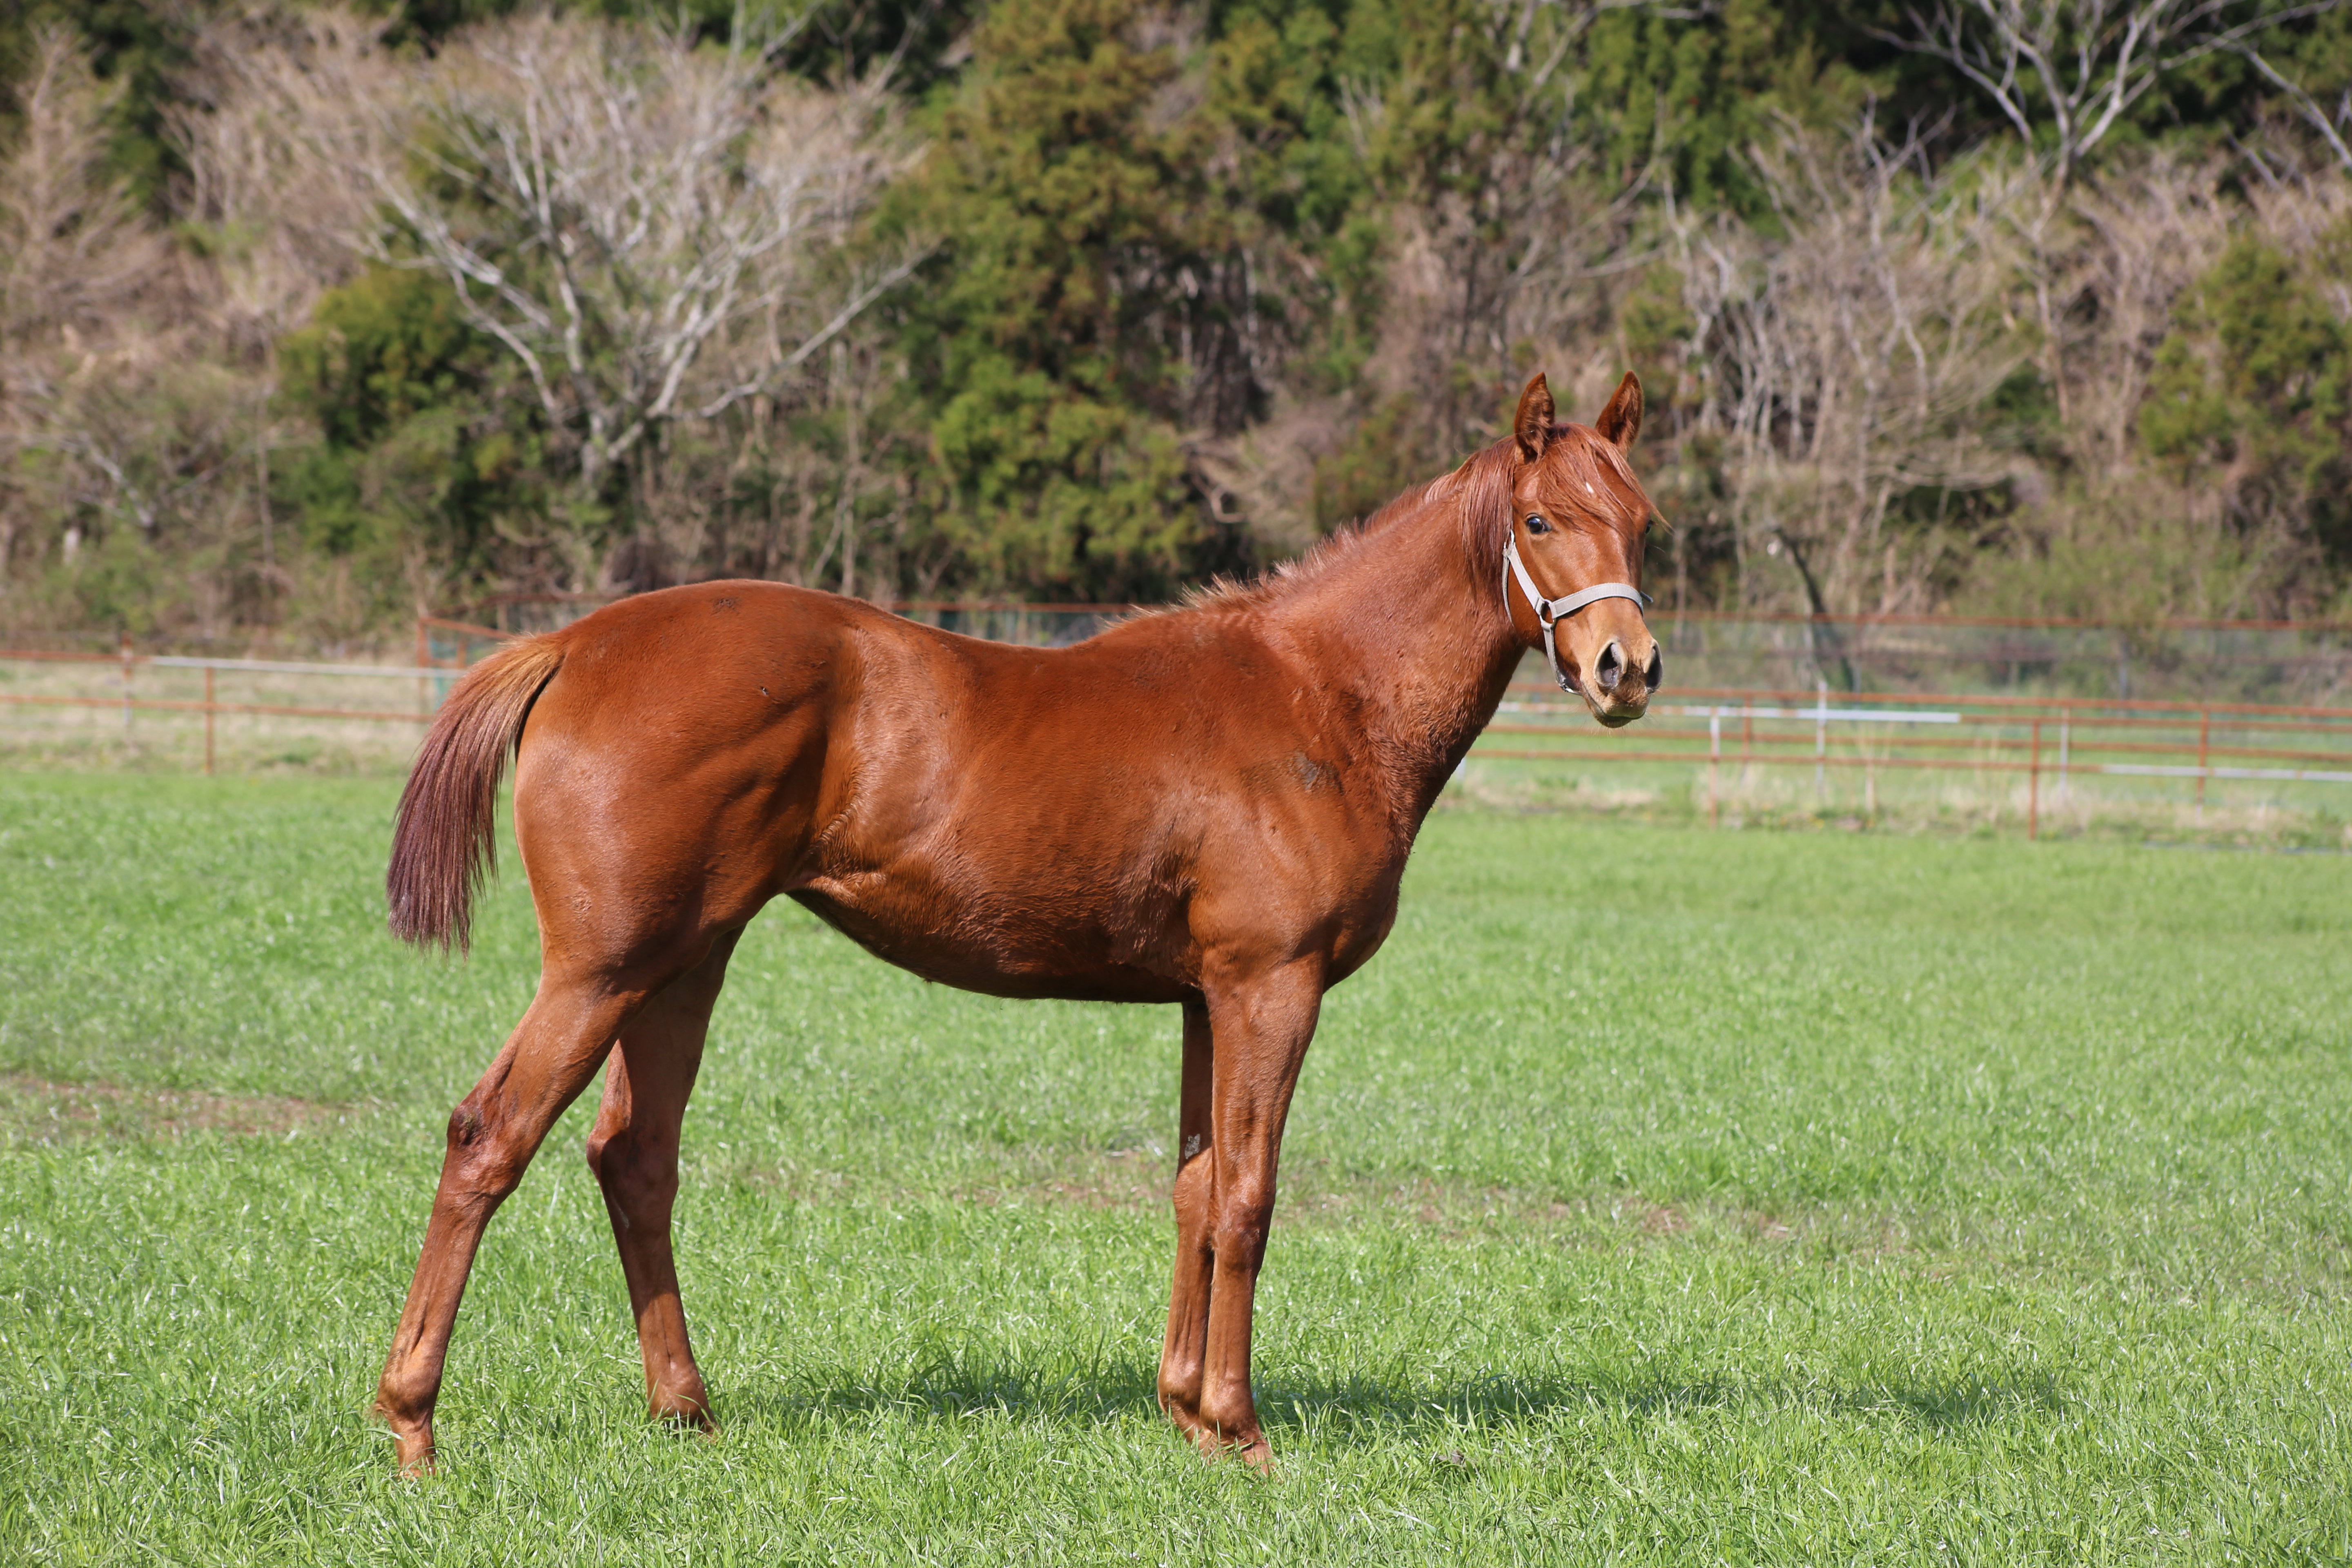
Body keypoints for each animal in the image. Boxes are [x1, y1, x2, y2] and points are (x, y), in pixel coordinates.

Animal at [372, 371, 1656, 1476]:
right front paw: (1239, 1428)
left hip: (682, 965)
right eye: (1540, 518)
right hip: (601, 972)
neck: (1316, 694)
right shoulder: (1268, 986)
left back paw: (684, 1411)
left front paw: (1185, 1412)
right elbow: (1247, 1195)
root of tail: (572, 643)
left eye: (1641, 520)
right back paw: (412, 1423)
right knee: (489, 1137)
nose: (1625, 668)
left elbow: (1194, 1187)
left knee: (635, 1157)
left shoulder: (1205, 1000)